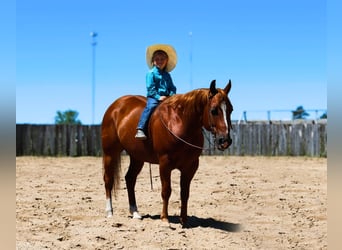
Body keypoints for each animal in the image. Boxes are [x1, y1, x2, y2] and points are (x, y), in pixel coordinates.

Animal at [101, 79, 234, 227]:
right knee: (108, 179)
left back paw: (135, 212)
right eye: (214, 110)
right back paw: (109, 212)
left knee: (130, 179)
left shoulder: (190, 166)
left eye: (231, 109)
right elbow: (166, 190)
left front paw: (184, 220)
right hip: (110, 153)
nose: (225, 141)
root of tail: (115, 106)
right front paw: (164, 219)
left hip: (137, 157)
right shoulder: (165, 164)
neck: (180, 123)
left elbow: (184, 193)